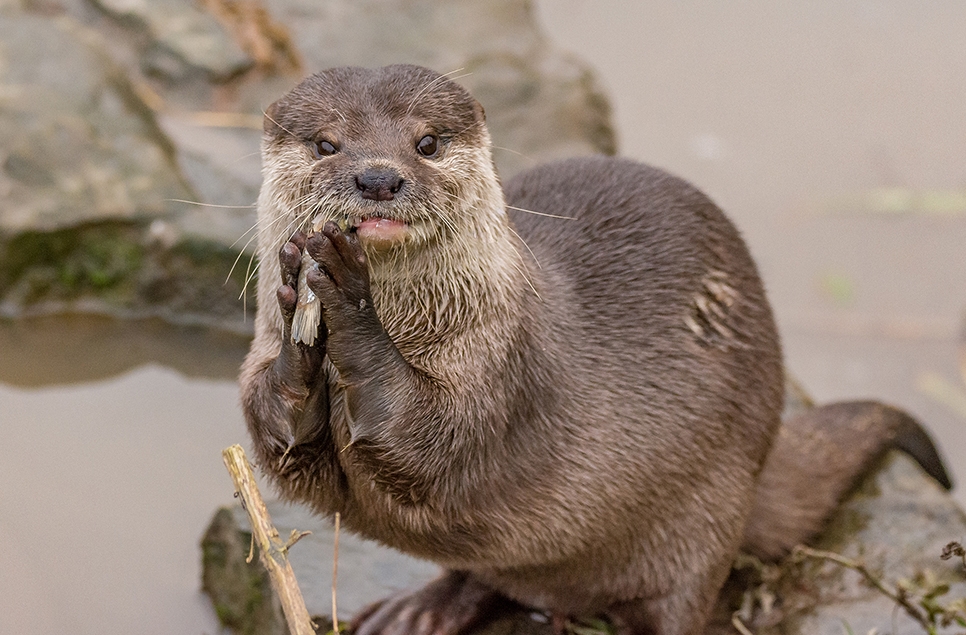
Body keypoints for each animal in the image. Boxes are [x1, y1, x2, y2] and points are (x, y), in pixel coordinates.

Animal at [240, 66, 952, 635]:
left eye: (427, 143)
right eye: (326, 143)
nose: (378, 177)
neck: (438, 322)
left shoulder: (504, 374)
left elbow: (430, 439)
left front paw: (347, 295)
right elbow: (279, 440)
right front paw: (298, 332)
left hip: (704, 520)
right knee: (490, 572)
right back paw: (417, 610)